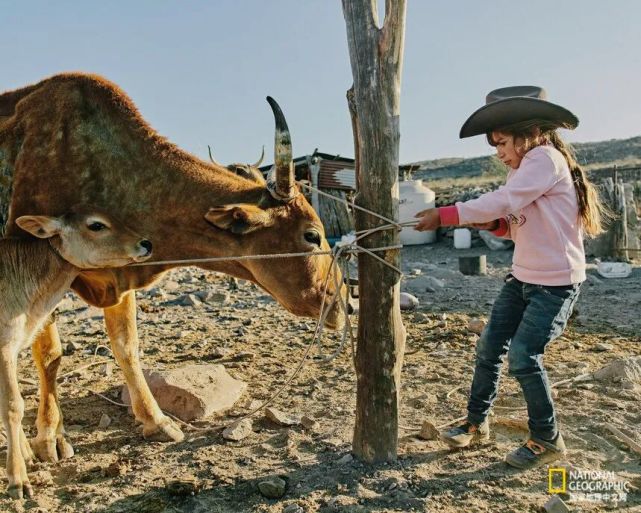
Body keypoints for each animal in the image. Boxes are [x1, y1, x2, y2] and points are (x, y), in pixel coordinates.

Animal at [0, 74, 344, 462]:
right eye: (312, 235)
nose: (344, 300)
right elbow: (49, 357)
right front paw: (48, 438)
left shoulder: (122, 270)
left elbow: (127, 347)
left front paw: (156, 420)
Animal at [0, 209, 151, 496]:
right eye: (96, 225)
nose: (146, 243)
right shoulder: (4, 348)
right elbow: (13, 406)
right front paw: (18, 481)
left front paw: (27, 457)